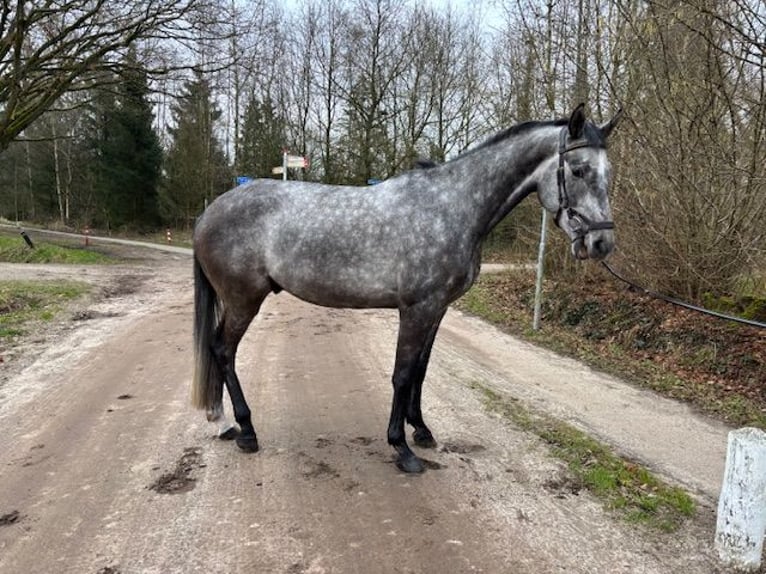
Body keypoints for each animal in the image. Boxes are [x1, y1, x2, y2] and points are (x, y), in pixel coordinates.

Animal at [192, 106, 624, 474]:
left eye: (609, 173)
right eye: (579, 170)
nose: (602, 244)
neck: (452, 208)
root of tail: (210, 212)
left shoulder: (437, 309)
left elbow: (420, 369)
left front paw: (422, 430)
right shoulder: (416, 308)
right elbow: (402, 373)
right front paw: (401, 448)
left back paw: (224, 423)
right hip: (243, 299)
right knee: (223, 350)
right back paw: (245, 430)